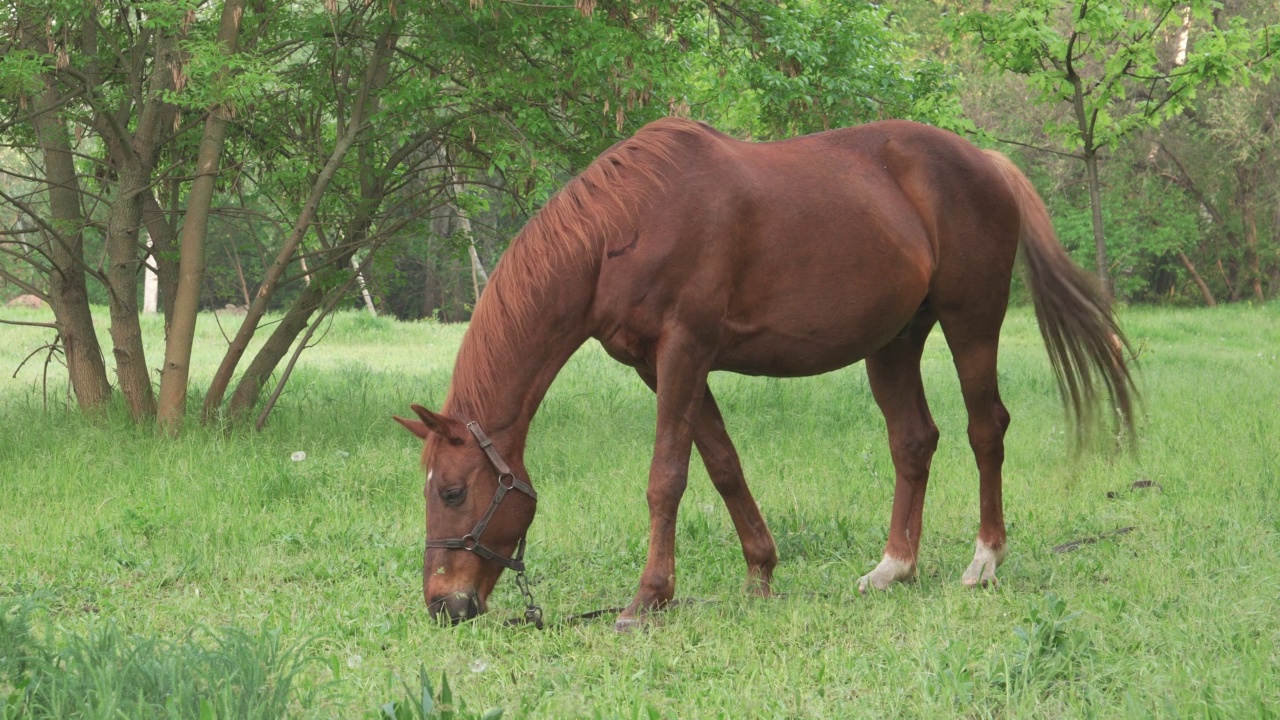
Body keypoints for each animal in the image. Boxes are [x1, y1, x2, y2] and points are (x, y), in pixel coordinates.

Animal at [394, 117, 1136, 627]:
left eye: (453, 492)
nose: (443, 605)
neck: (626, 225)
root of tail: (985, 161)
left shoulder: (683, 349)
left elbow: (667, 477)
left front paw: (647, 598)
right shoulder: (659, 365)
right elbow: (723, 465)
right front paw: (760, 572)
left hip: (971, 321)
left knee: (987, 429)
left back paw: (984, 560)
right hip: (894, 341)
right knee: (913, 441)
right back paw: (893, 568)